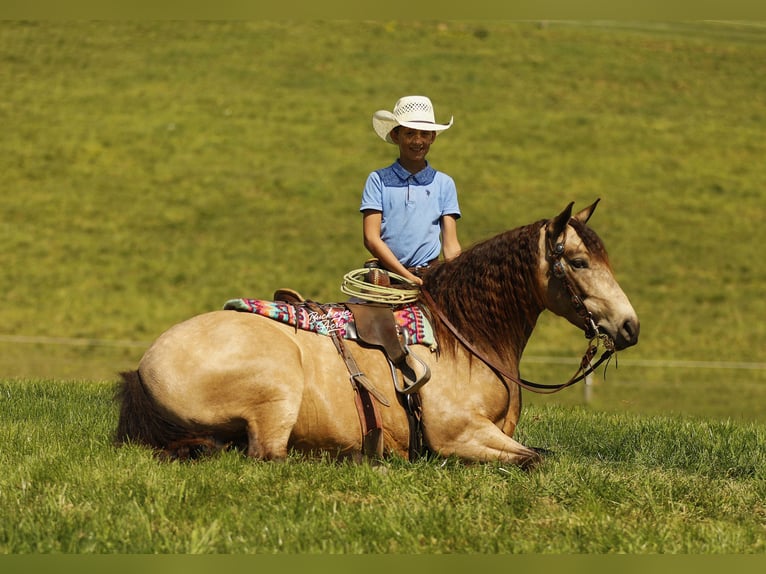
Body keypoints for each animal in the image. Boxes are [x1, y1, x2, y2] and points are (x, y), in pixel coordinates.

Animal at [115, 200, 639, 468]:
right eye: (578, 262)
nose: (630, 326)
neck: (466, 338)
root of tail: (142, 369)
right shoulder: (460, 437)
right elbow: (537, 459)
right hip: (276, 389)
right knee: (269, 456)